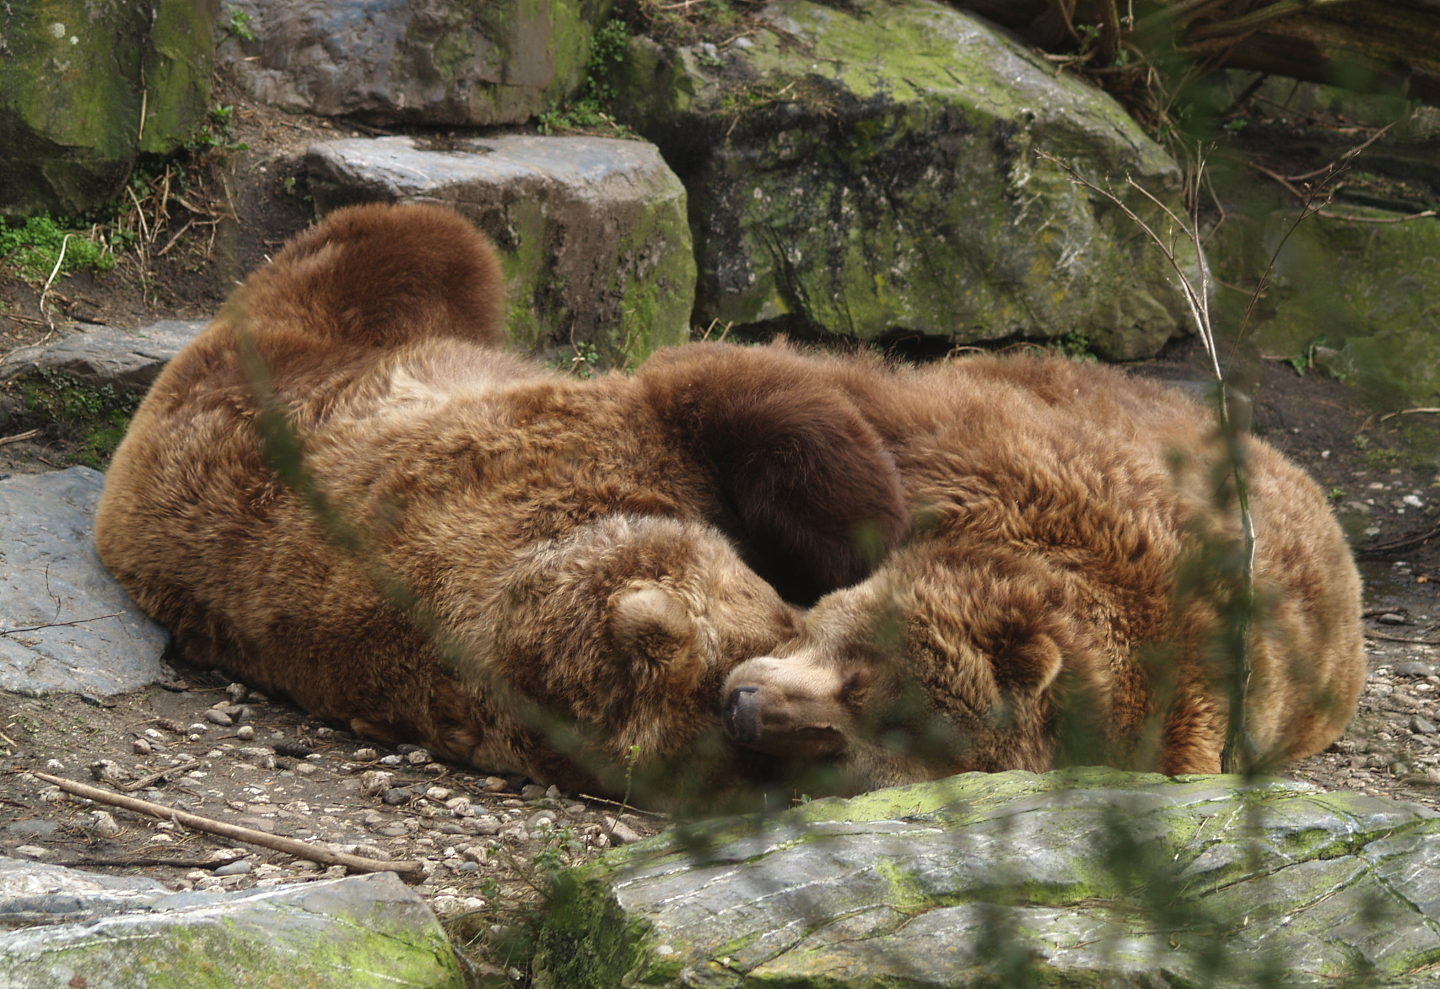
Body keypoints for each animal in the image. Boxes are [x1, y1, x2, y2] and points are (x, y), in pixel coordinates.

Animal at [95, 203, 912, 806]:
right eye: (779, 635)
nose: (747, 710)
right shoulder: (569, 444)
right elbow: (729, 388)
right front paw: (881, 535)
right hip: (313, 328)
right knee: (423, 240)